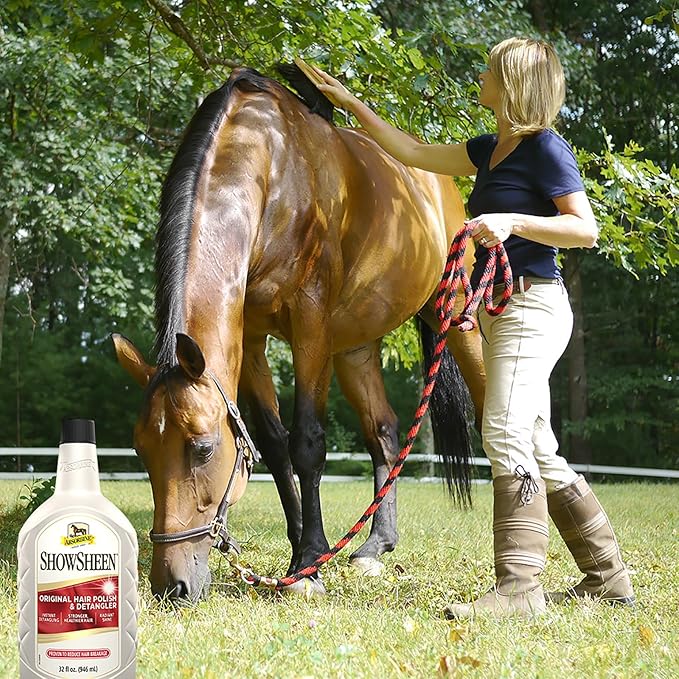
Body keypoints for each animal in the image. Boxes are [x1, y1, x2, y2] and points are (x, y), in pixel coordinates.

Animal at [111, 65, 485, 601]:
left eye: (202, 447)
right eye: (141, 449)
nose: (173, 585)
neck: (272, 167)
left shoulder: (310, 324)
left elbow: (306, 443)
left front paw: (309, 562)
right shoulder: (249, 338)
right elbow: (272, 444)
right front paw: (300, 556)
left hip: (456, 320)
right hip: (355, 345)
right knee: (384, 432)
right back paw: (375, 547)